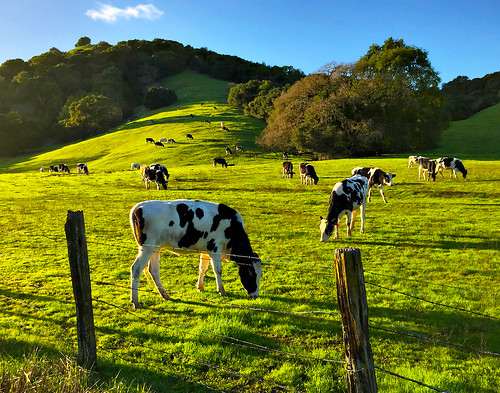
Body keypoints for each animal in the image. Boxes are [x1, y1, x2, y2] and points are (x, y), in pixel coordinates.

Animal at [129, 199, 264, 306]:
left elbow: (203, 268)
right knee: (136, 269)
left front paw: (200, 287)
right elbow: (218, 270)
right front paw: (221, 291)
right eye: (251, 274)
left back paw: (165, 295)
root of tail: (139, 206)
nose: (255, 295)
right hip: (147, 247)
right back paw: (135, 301)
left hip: (156, 247)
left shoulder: (206, 250)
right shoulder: (215, 247)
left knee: (154, 270)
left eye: (260, 275)